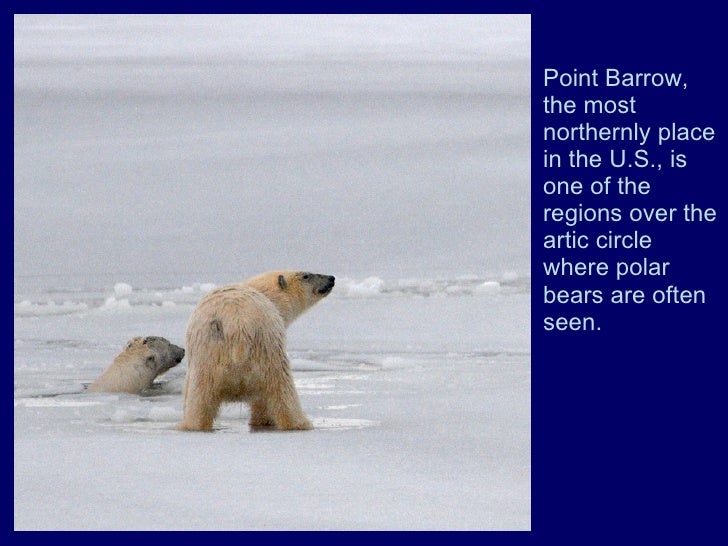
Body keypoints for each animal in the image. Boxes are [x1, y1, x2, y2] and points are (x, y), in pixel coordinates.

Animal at [178, 270, 335, 432]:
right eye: (306, 276)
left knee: (201, 397)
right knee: (282, 387)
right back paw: (301, 423)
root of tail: (238, 323)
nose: (331, 278)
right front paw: (265, 420)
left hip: (214, 354)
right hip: (262, 347)